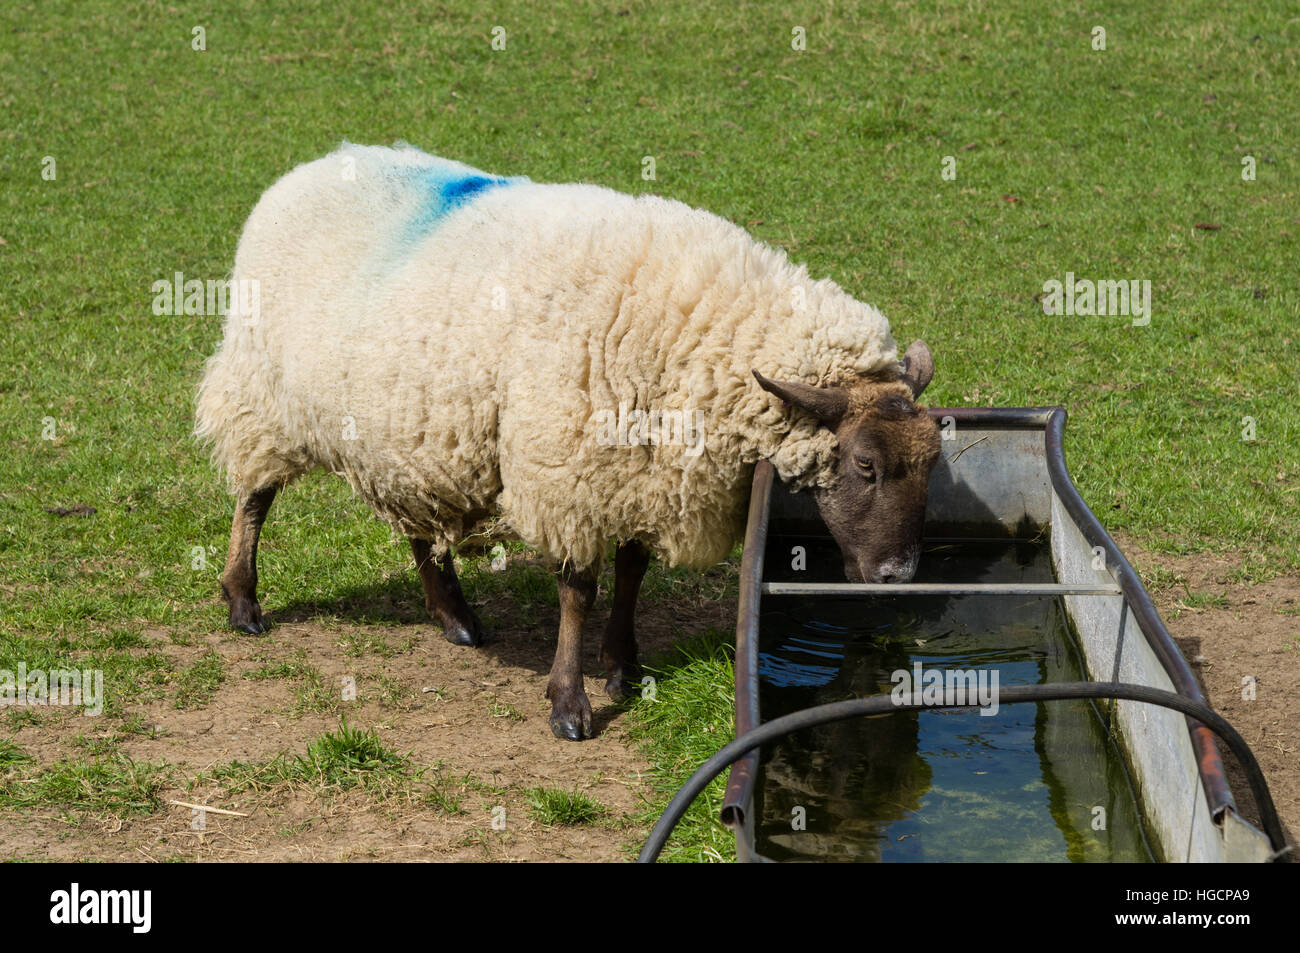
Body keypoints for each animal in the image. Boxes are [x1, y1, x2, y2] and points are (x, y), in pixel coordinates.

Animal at [196, 142, 941, 740]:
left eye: (934, 461)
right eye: (865, 464)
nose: (898, 577)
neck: (690, 325)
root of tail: (313, 166)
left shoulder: (644, 470)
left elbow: (633, 570)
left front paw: (623, 666)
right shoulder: (571, 468)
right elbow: (577, 590)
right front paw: (569, 704)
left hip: (405, 427)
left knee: (417, 521)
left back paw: (455, 616)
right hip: (263, 394)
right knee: (255, 496)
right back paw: (243, 600)